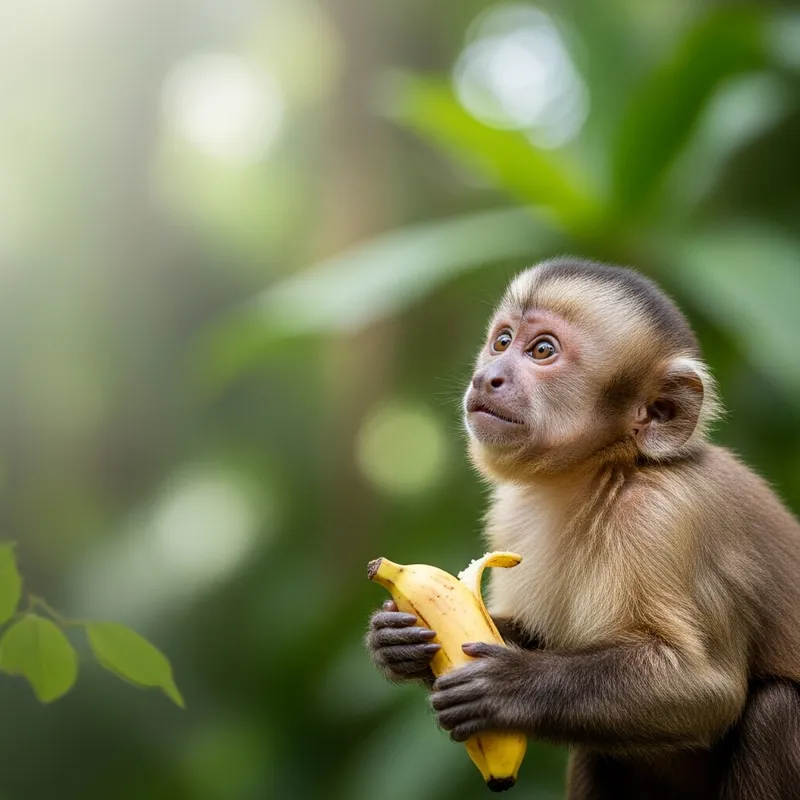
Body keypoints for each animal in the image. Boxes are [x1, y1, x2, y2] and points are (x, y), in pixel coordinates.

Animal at [366, 258, 800, 799]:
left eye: (542, 351)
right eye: (502, 342)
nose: (488, 377)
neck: (600, 473)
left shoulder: (661, 516)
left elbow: (707, 690)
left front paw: (510, 686)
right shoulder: (510, 513)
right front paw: (393, 640)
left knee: (776, 710)